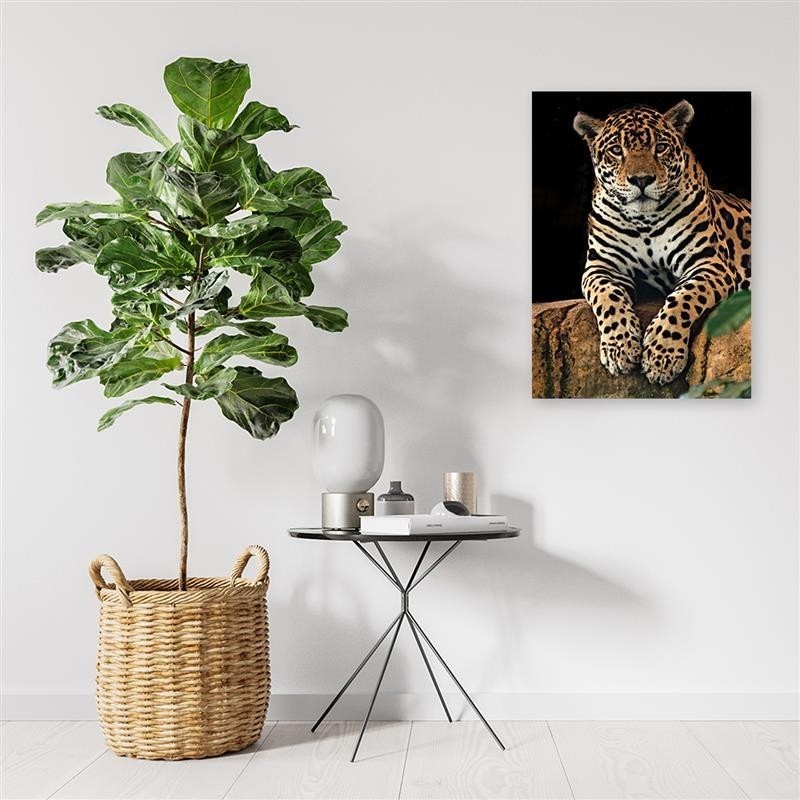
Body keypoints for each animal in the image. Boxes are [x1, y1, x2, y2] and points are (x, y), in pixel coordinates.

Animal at [572, 100, 751, 385]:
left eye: (660, 147)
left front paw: (661, 355)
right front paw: (620, 349)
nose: (641, 179)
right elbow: (608, 297)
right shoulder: (602, 267)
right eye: (616, 150)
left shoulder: (708, 264)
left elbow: (683, 300)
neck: (644, 220)